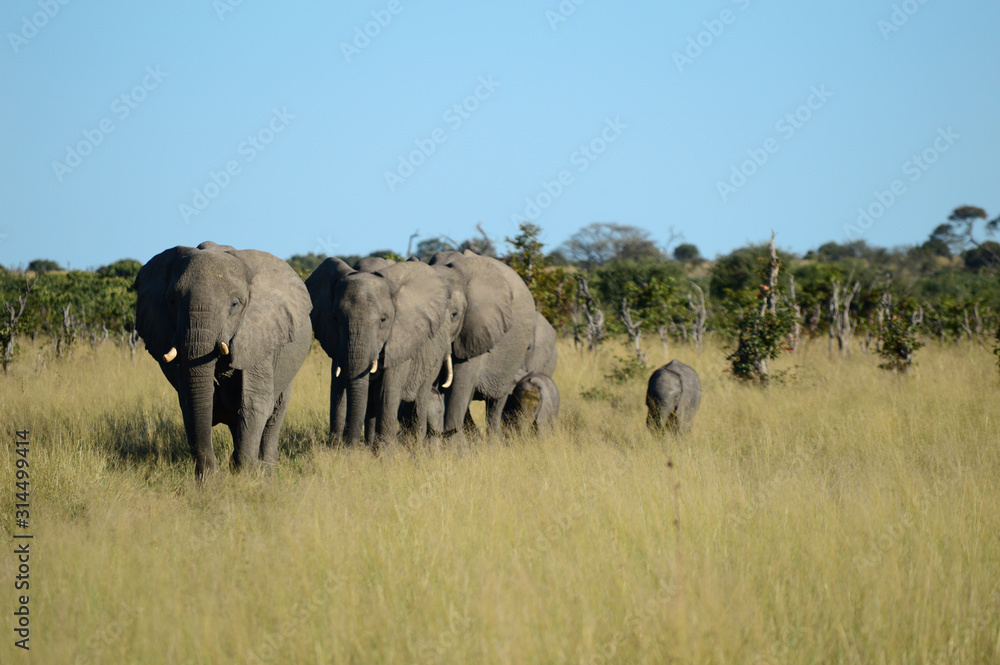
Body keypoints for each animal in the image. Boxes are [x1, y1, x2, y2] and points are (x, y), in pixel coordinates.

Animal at [133, 242, 313, 479]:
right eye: (171, 301)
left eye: (235, 304)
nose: (213, 475)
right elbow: (190, 401)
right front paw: (213, 480)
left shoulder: (258, 333)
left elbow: (254, 404)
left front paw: (246, 477)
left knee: (274, 415)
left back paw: (265, 473)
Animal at [305, 256, 459, 447]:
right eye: (335, 318)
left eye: (383, 320)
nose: (349, 445)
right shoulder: (336, 343)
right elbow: (338, 387)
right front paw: (336, 448)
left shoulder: (401, 338)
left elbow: (387, 390)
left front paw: (384, 452)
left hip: (434, 356)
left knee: (420, 397)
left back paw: (415, 444)